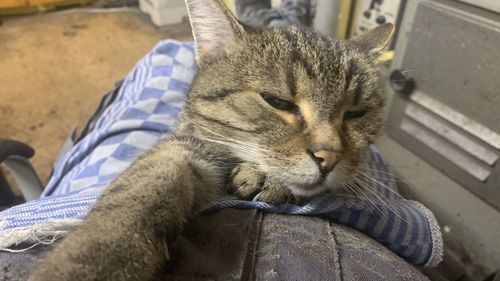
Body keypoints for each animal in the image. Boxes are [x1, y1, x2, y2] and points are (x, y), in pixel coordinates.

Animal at [30, 0, 394, 278]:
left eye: (356, 113)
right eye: (277, 101)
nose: (329, 156)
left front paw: (269, 179)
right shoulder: (184, 146)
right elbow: (136, 192)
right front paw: (93, 258)